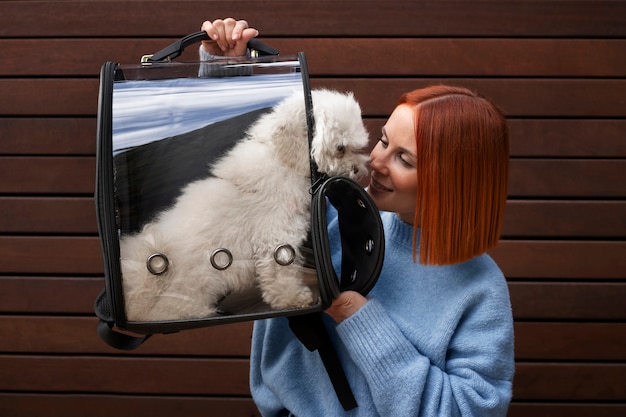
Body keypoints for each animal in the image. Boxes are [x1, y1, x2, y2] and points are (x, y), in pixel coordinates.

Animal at [119, 88, 368, 322]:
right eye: (340, 148)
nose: (358, 170)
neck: (281, 158)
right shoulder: (276, 233)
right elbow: (281, 271)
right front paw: (293, 298)